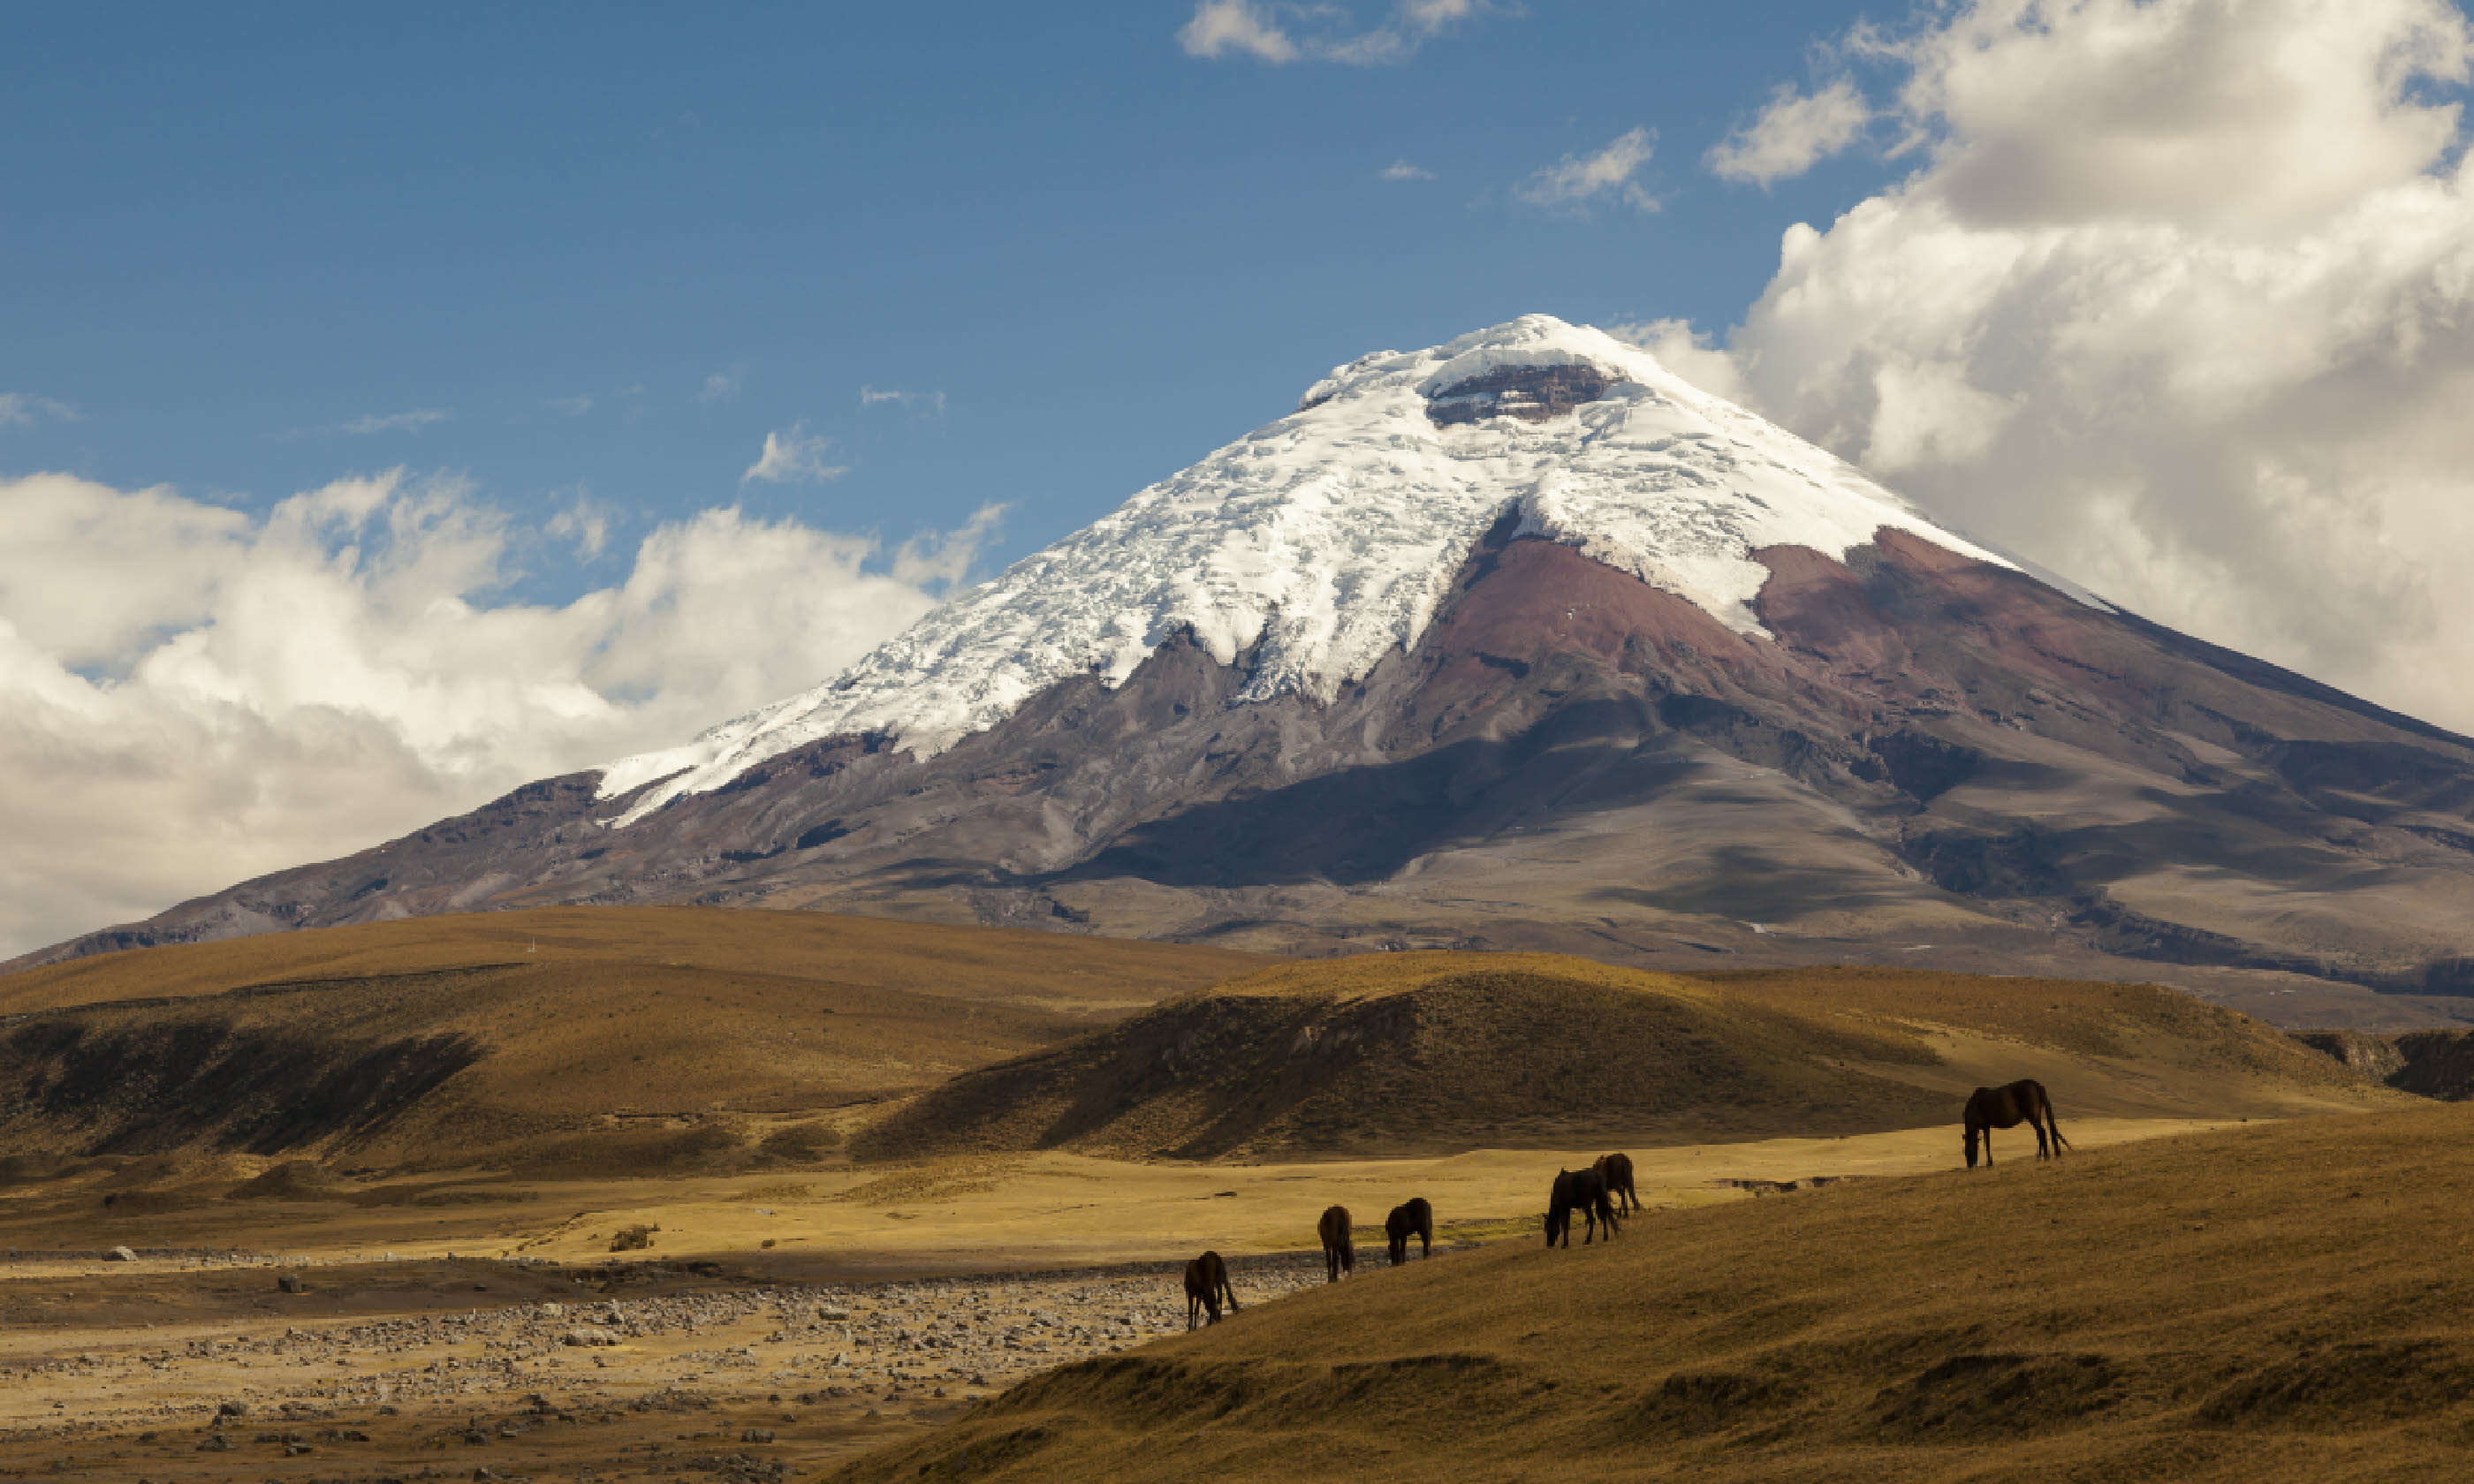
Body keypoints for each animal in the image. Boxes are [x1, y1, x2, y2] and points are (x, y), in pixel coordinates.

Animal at [1959, 1078, 2078, 1172]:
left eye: (1966, 1151)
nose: (1970, 1166)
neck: (1974, 1105)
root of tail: (2036, 1085)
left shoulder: (1984, 1126)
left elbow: (1986, 1144)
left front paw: (1989, 1163)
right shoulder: (1986, 1126)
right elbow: (1987, 1143)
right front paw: (1990, 1162)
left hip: (2032, 1116)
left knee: (2041, 1132)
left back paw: (2045, 1156)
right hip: (2036, 1115)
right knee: (2040, 1133)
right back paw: (2040, 1156)